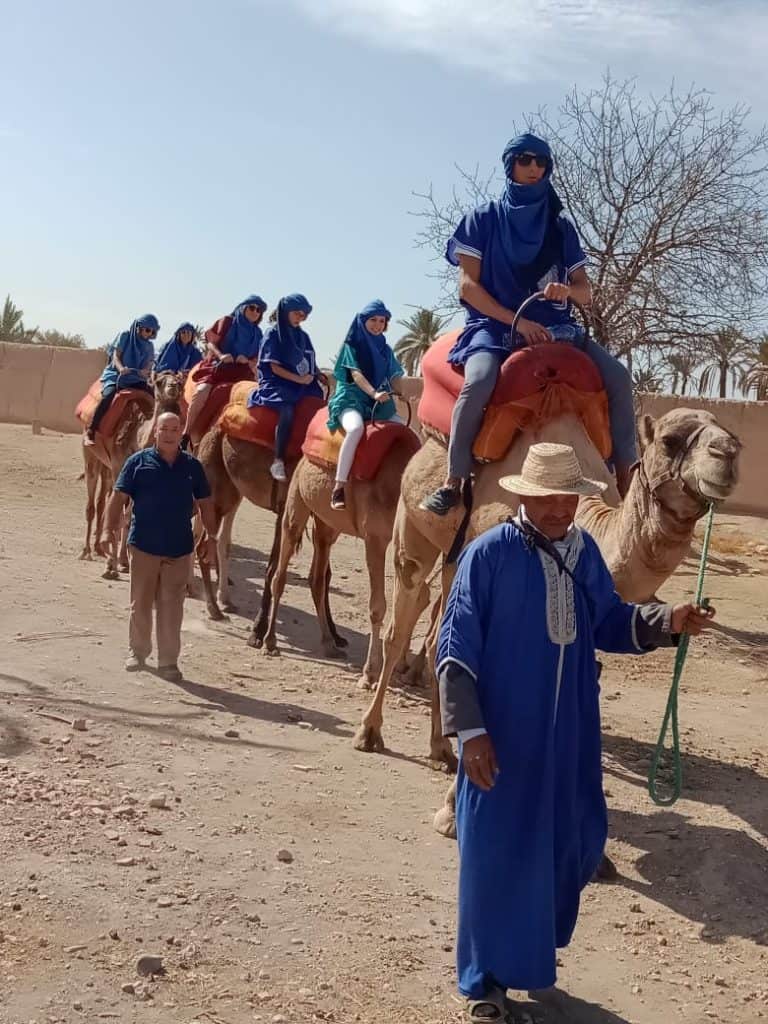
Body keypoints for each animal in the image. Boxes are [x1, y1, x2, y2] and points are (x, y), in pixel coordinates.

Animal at [260, 419, 428, 684]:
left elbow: (420, 597)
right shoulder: (375, 539)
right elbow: (377, 606)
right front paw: (370, 673)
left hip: (328, 524)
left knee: (317, 577)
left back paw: (330, 644)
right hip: (296, 499)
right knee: (281, 572)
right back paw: (269, 642)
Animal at [358, 401, 741, 774]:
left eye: (732, 435)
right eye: (669, 440)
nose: (727, 453)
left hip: (453, 560)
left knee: (438, 639)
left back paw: (441, 749)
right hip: (413, 528)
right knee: (401, 622)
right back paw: (370, 730)